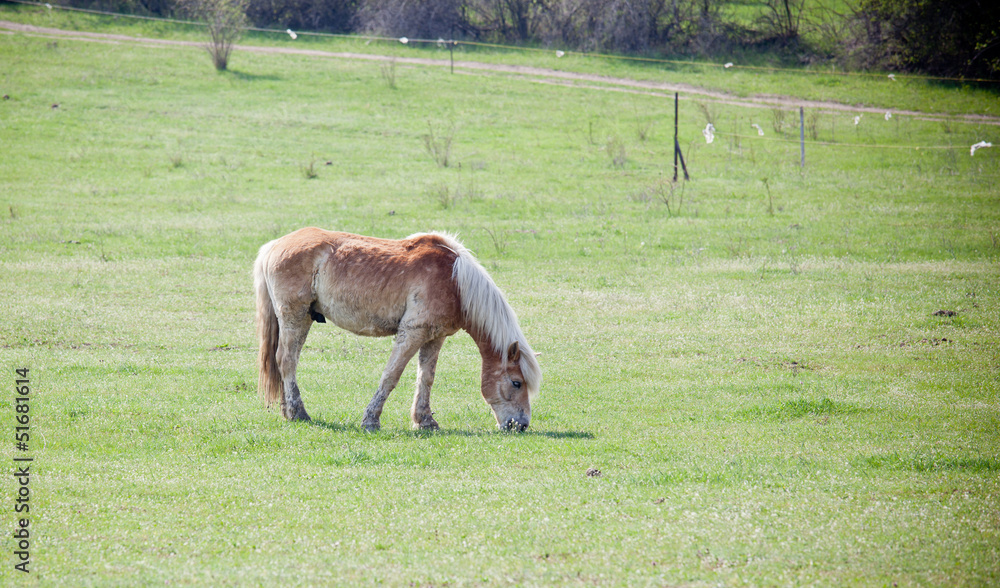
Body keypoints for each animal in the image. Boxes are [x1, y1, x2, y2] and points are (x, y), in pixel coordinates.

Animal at [253, 228, 542, 432]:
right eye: (516, 383)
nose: (521, 425)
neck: (456, 283)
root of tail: (273, 245)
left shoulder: (434, 338)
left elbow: (426, 378)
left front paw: (425, 421)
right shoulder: (412, 332)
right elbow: (391, 375)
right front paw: (371, 420)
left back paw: (287, 412)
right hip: (296, 317)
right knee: (286, 361)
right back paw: (299, 413)